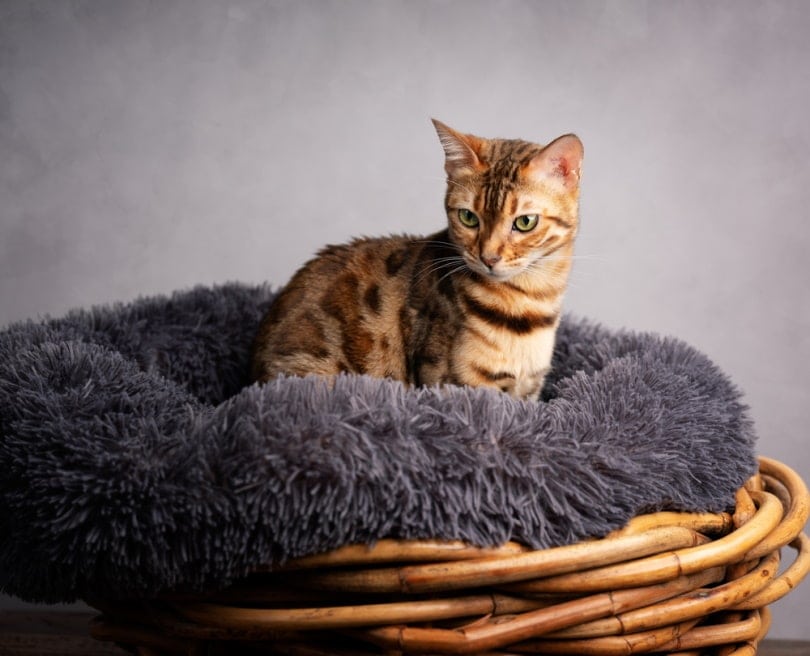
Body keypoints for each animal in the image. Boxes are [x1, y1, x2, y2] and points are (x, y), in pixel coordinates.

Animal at [251, 120, 580, 400]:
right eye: (468, 217)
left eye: (525, 222)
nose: (489, 257)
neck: (529, 305)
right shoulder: (458, 384)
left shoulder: (529, 391)